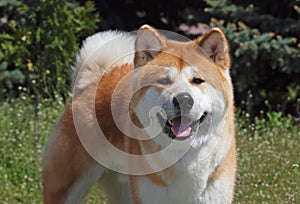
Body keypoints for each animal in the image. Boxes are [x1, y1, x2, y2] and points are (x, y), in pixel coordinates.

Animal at [42, 24, 237, 203]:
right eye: (164, 81)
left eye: (198, 80)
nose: (183, 100)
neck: (182, 155)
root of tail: (95, 79)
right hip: (66, 187)